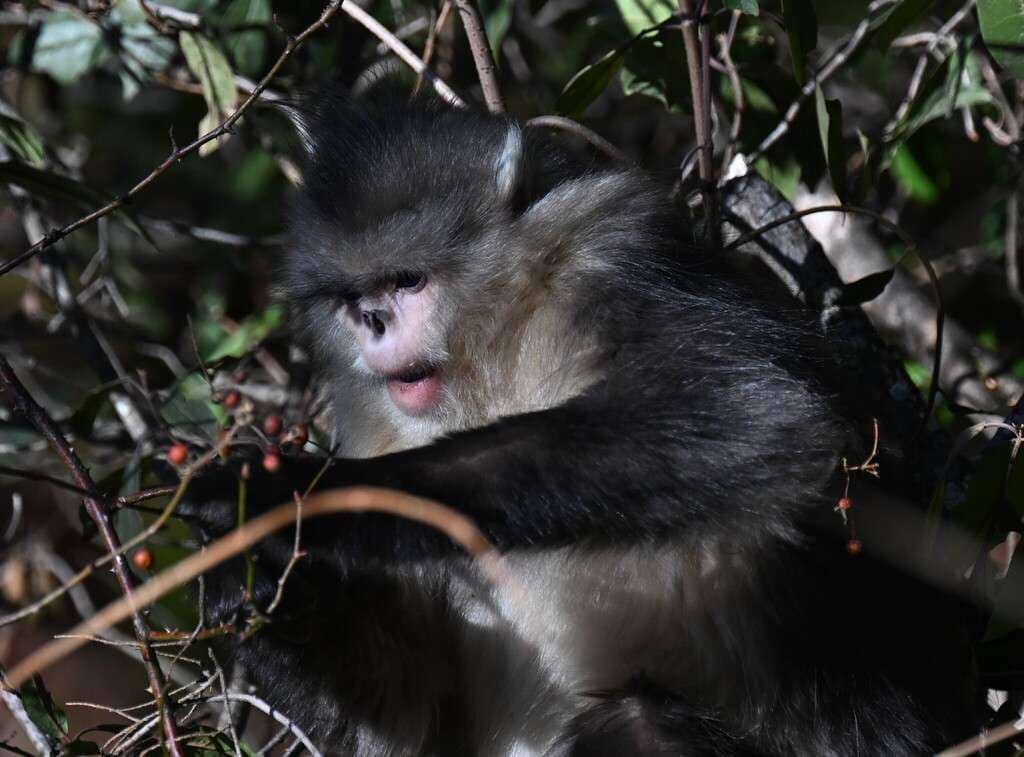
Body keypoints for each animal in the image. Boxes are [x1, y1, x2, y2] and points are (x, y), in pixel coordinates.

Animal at [182, 87, 976, 756]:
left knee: (634, 719)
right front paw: (248, 582)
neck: (491, 364)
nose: (374, 321)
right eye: (352, 297)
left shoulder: (607, 253)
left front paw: (290, 496)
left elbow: (754, 414)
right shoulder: (370, 409)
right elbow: (411, 714)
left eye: (408, 281)